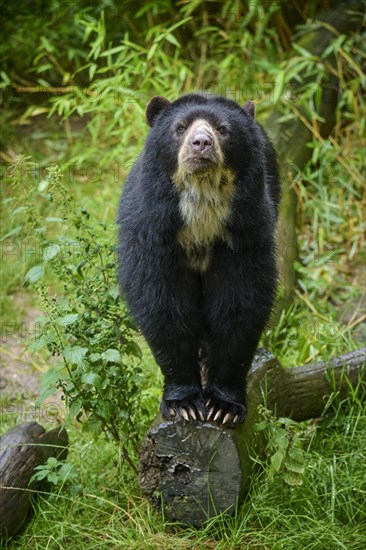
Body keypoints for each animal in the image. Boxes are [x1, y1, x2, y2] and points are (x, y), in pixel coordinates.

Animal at [118, 92, 280, 430]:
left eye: (222, 129)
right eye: (180, 128)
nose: (201, 143)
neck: (201, 209)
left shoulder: (246, 231)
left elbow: (240, 302)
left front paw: (223, 406)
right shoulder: (153, 232)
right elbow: (162, 304)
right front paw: (184, 404)